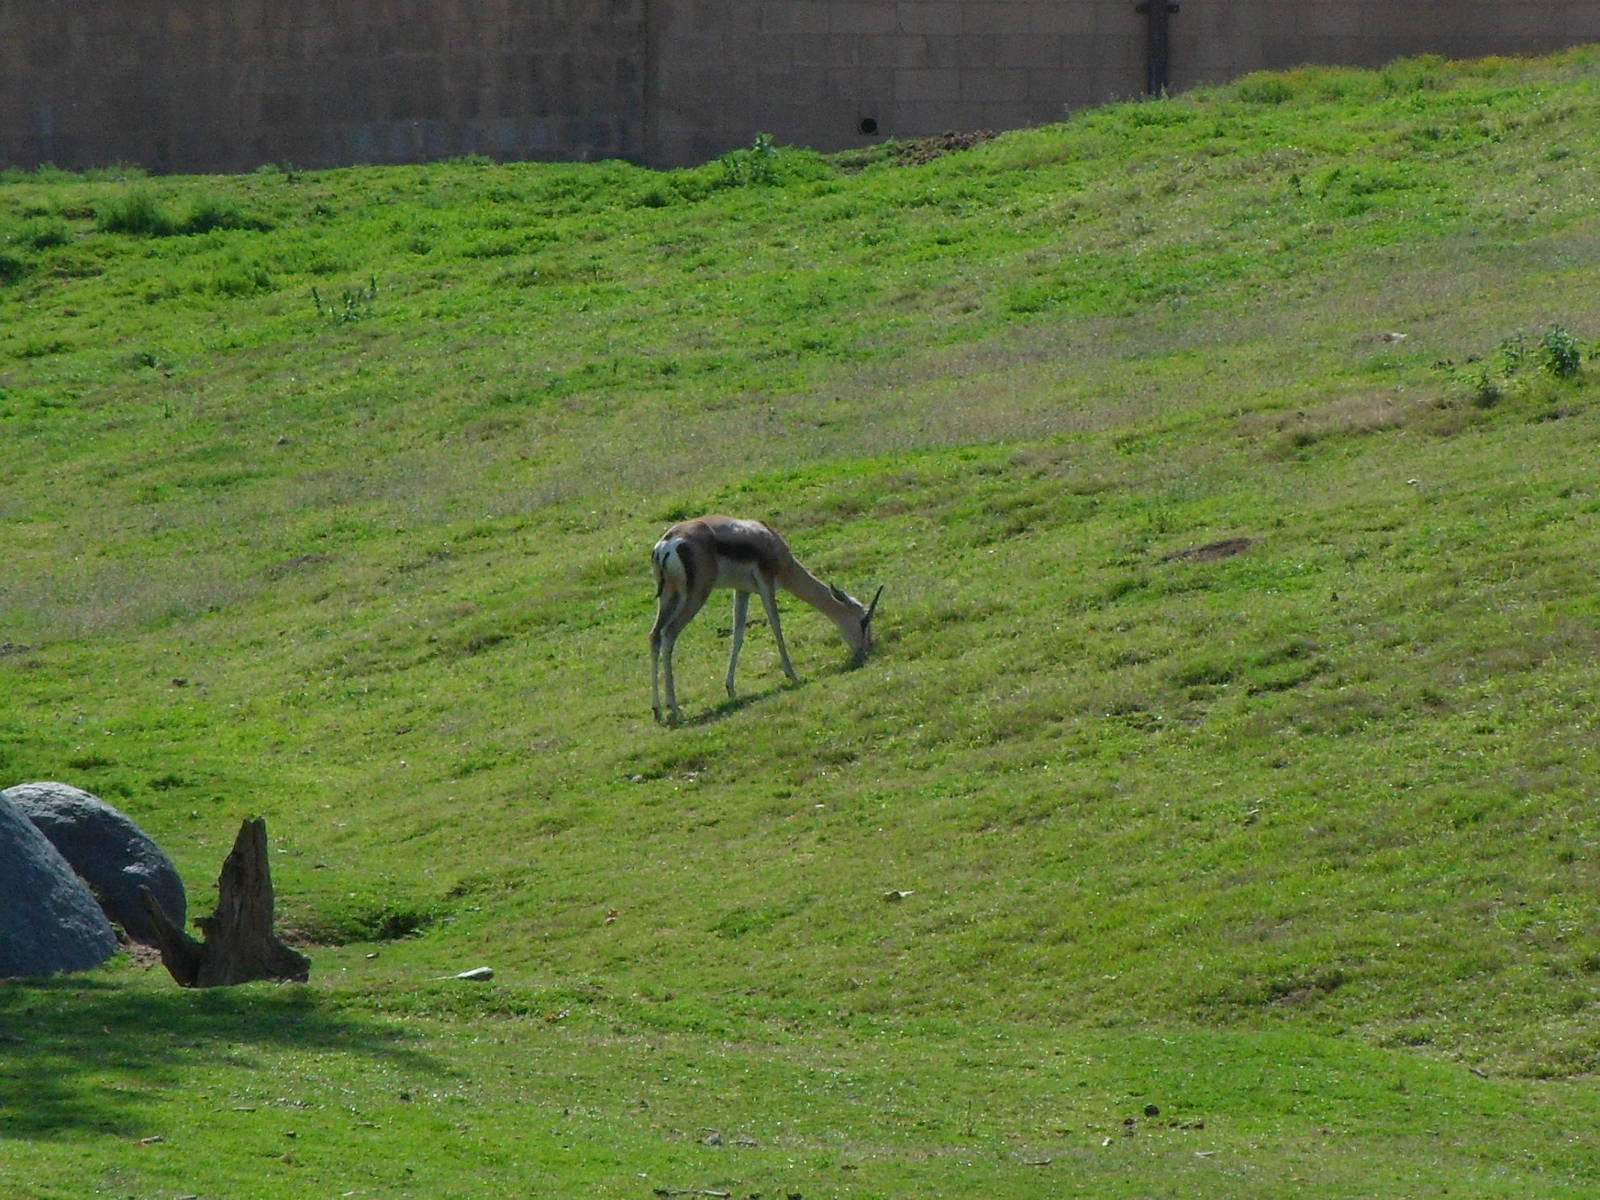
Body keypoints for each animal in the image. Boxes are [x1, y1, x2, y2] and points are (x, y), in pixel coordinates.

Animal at [649, 514, 882, 724]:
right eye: (864, 621)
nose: (865, 650)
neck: (770, 540)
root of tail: (667, 542)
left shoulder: (741, 590)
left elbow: (738, 633)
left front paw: (730, 688)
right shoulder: (766, 582)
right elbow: (776, 624)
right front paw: (792, 675)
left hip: (670, 595)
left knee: (654, 636)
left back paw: (658, 711)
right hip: (696, 594)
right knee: (669, 634)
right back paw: (674, 707)